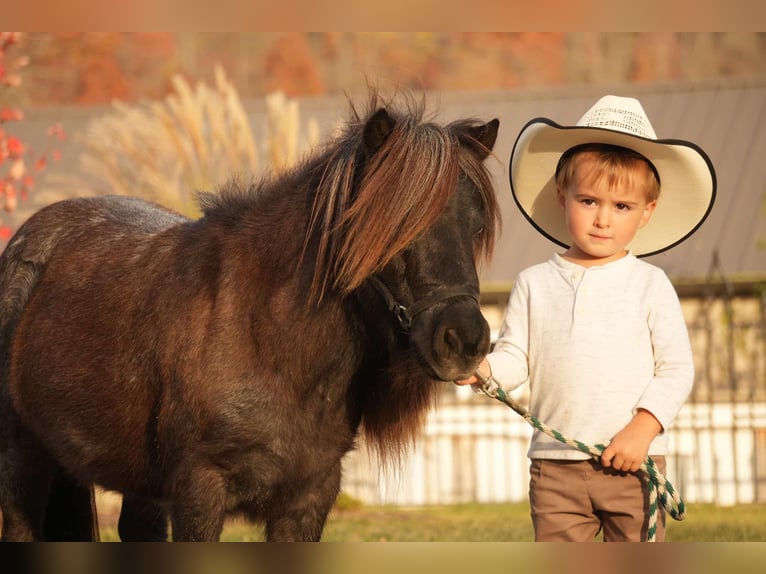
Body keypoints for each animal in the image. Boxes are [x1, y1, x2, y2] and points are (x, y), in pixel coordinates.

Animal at [0, 92, 500, 544]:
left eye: (476, 225)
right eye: (396, 224)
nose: (465, 341)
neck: (269, 341)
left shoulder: (308, 500)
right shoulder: (199, 492)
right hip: (24, 463)